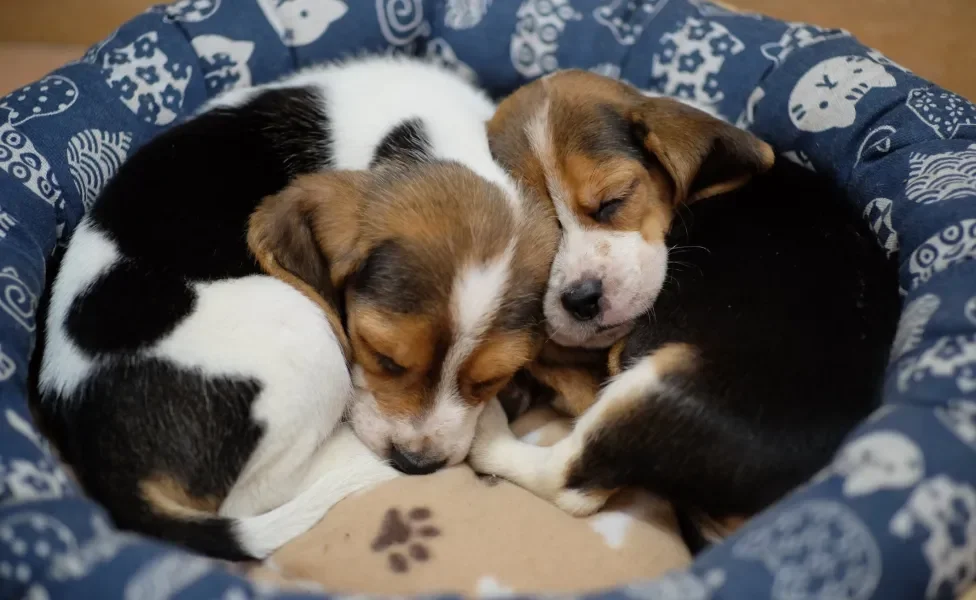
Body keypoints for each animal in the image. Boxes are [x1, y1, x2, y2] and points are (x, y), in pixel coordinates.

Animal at [34, 57, 556, 564]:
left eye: (490, 379)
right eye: (383, 357)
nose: (416, 464)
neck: (429, 137)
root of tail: (111, 467)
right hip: (304, 332)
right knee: (255, 495)